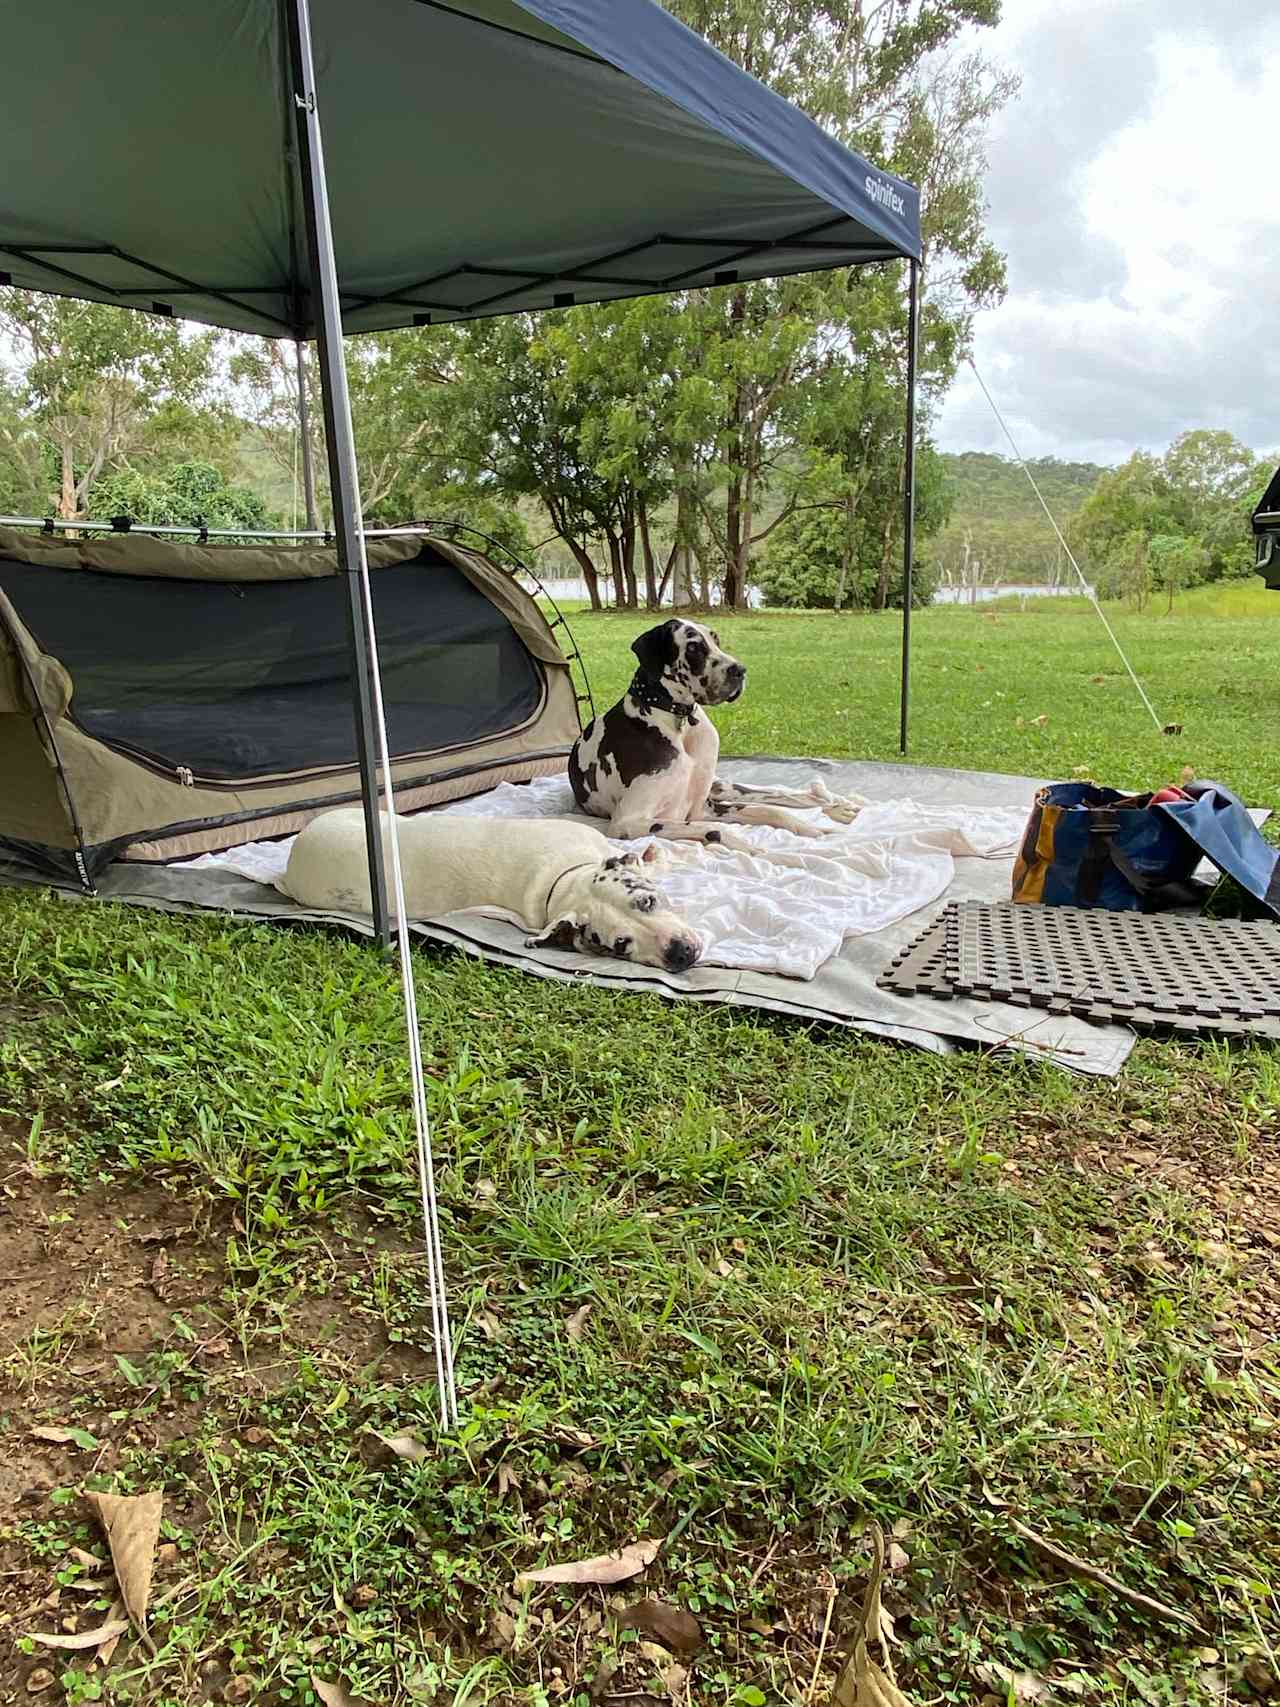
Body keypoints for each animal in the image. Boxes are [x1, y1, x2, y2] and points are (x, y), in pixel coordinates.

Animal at [570, 621, 863, 846]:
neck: (678, 721)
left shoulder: (703, 806)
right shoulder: (630, 821)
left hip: (720, 786)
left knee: (777, 795)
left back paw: (834, 805)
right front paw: (749, 846)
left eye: (716, 639)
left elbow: (770, 811)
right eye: (693, 646)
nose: (740, 670)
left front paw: (813, 828)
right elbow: (716, 830)